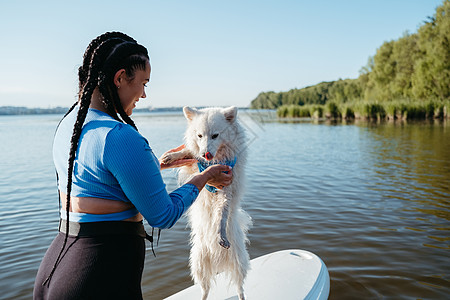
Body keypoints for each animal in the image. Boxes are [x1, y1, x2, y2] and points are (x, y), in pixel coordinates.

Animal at [163, 106, 251, 298]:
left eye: (215, 135)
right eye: (200, 136)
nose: (206, 154)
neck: (217, 159)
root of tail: (219, 260)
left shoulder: (226, 189)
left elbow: (221, 215)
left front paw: (220, 234)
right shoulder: (196, 164)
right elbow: (189, 153)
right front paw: (172, 156)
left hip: (238, 262)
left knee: (240, 287)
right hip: (199, 264)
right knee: (205, 289)